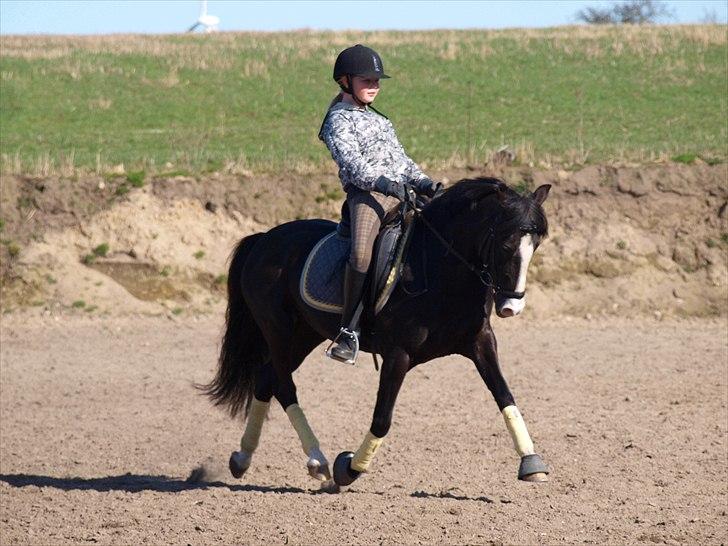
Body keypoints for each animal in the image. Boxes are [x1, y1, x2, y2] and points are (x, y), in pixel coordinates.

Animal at [200, 177, 551, 489]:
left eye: (535, 245)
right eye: (505, 243)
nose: (511, 306)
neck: (441, 271)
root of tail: (264, 239)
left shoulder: (480, 343)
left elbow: (505, 396)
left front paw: (531, 463)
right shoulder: (398, 355)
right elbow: (382, 420)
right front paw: (348, 468)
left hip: (304, 336)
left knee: (266, 379)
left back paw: (242, 458)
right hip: (279, 332)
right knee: (284, 385)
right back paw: (318, 461)